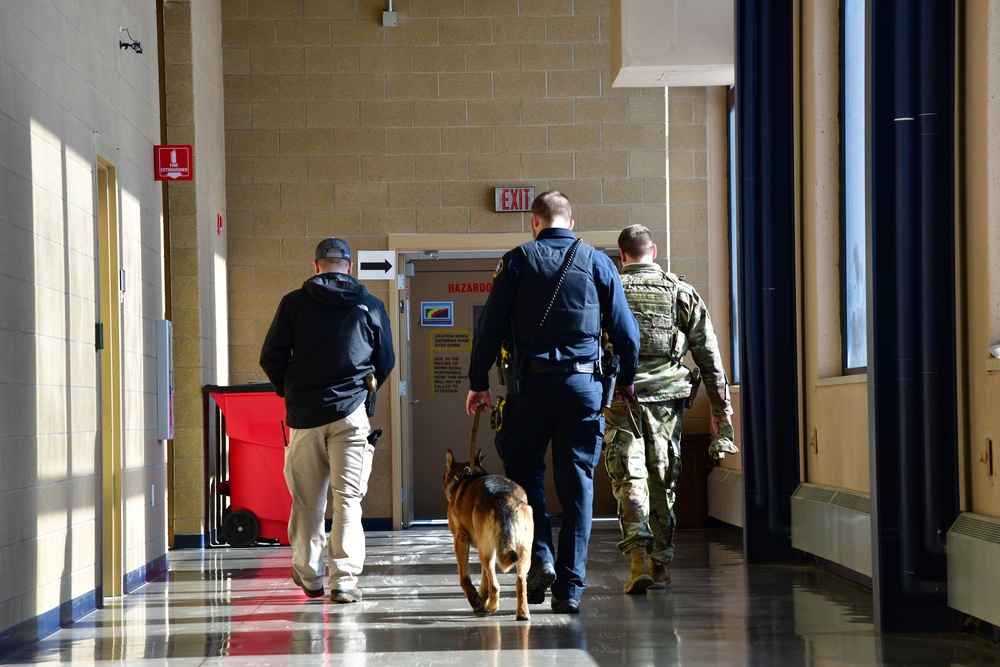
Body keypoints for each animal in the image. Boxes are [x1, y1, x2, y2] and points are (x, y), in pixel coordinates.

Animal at [444, 448, 536, 620]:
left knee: (495, 585)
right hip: (522, 552)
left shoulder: (460, 538)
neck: (465, 476)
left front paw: (475, 599)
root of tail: (505, 497)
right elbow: (484, 580)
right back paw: (522, 612)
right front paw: (481, 600)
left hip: (485, 553)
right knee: (520, 580)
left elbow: (465, 578)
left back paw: (493, 607)